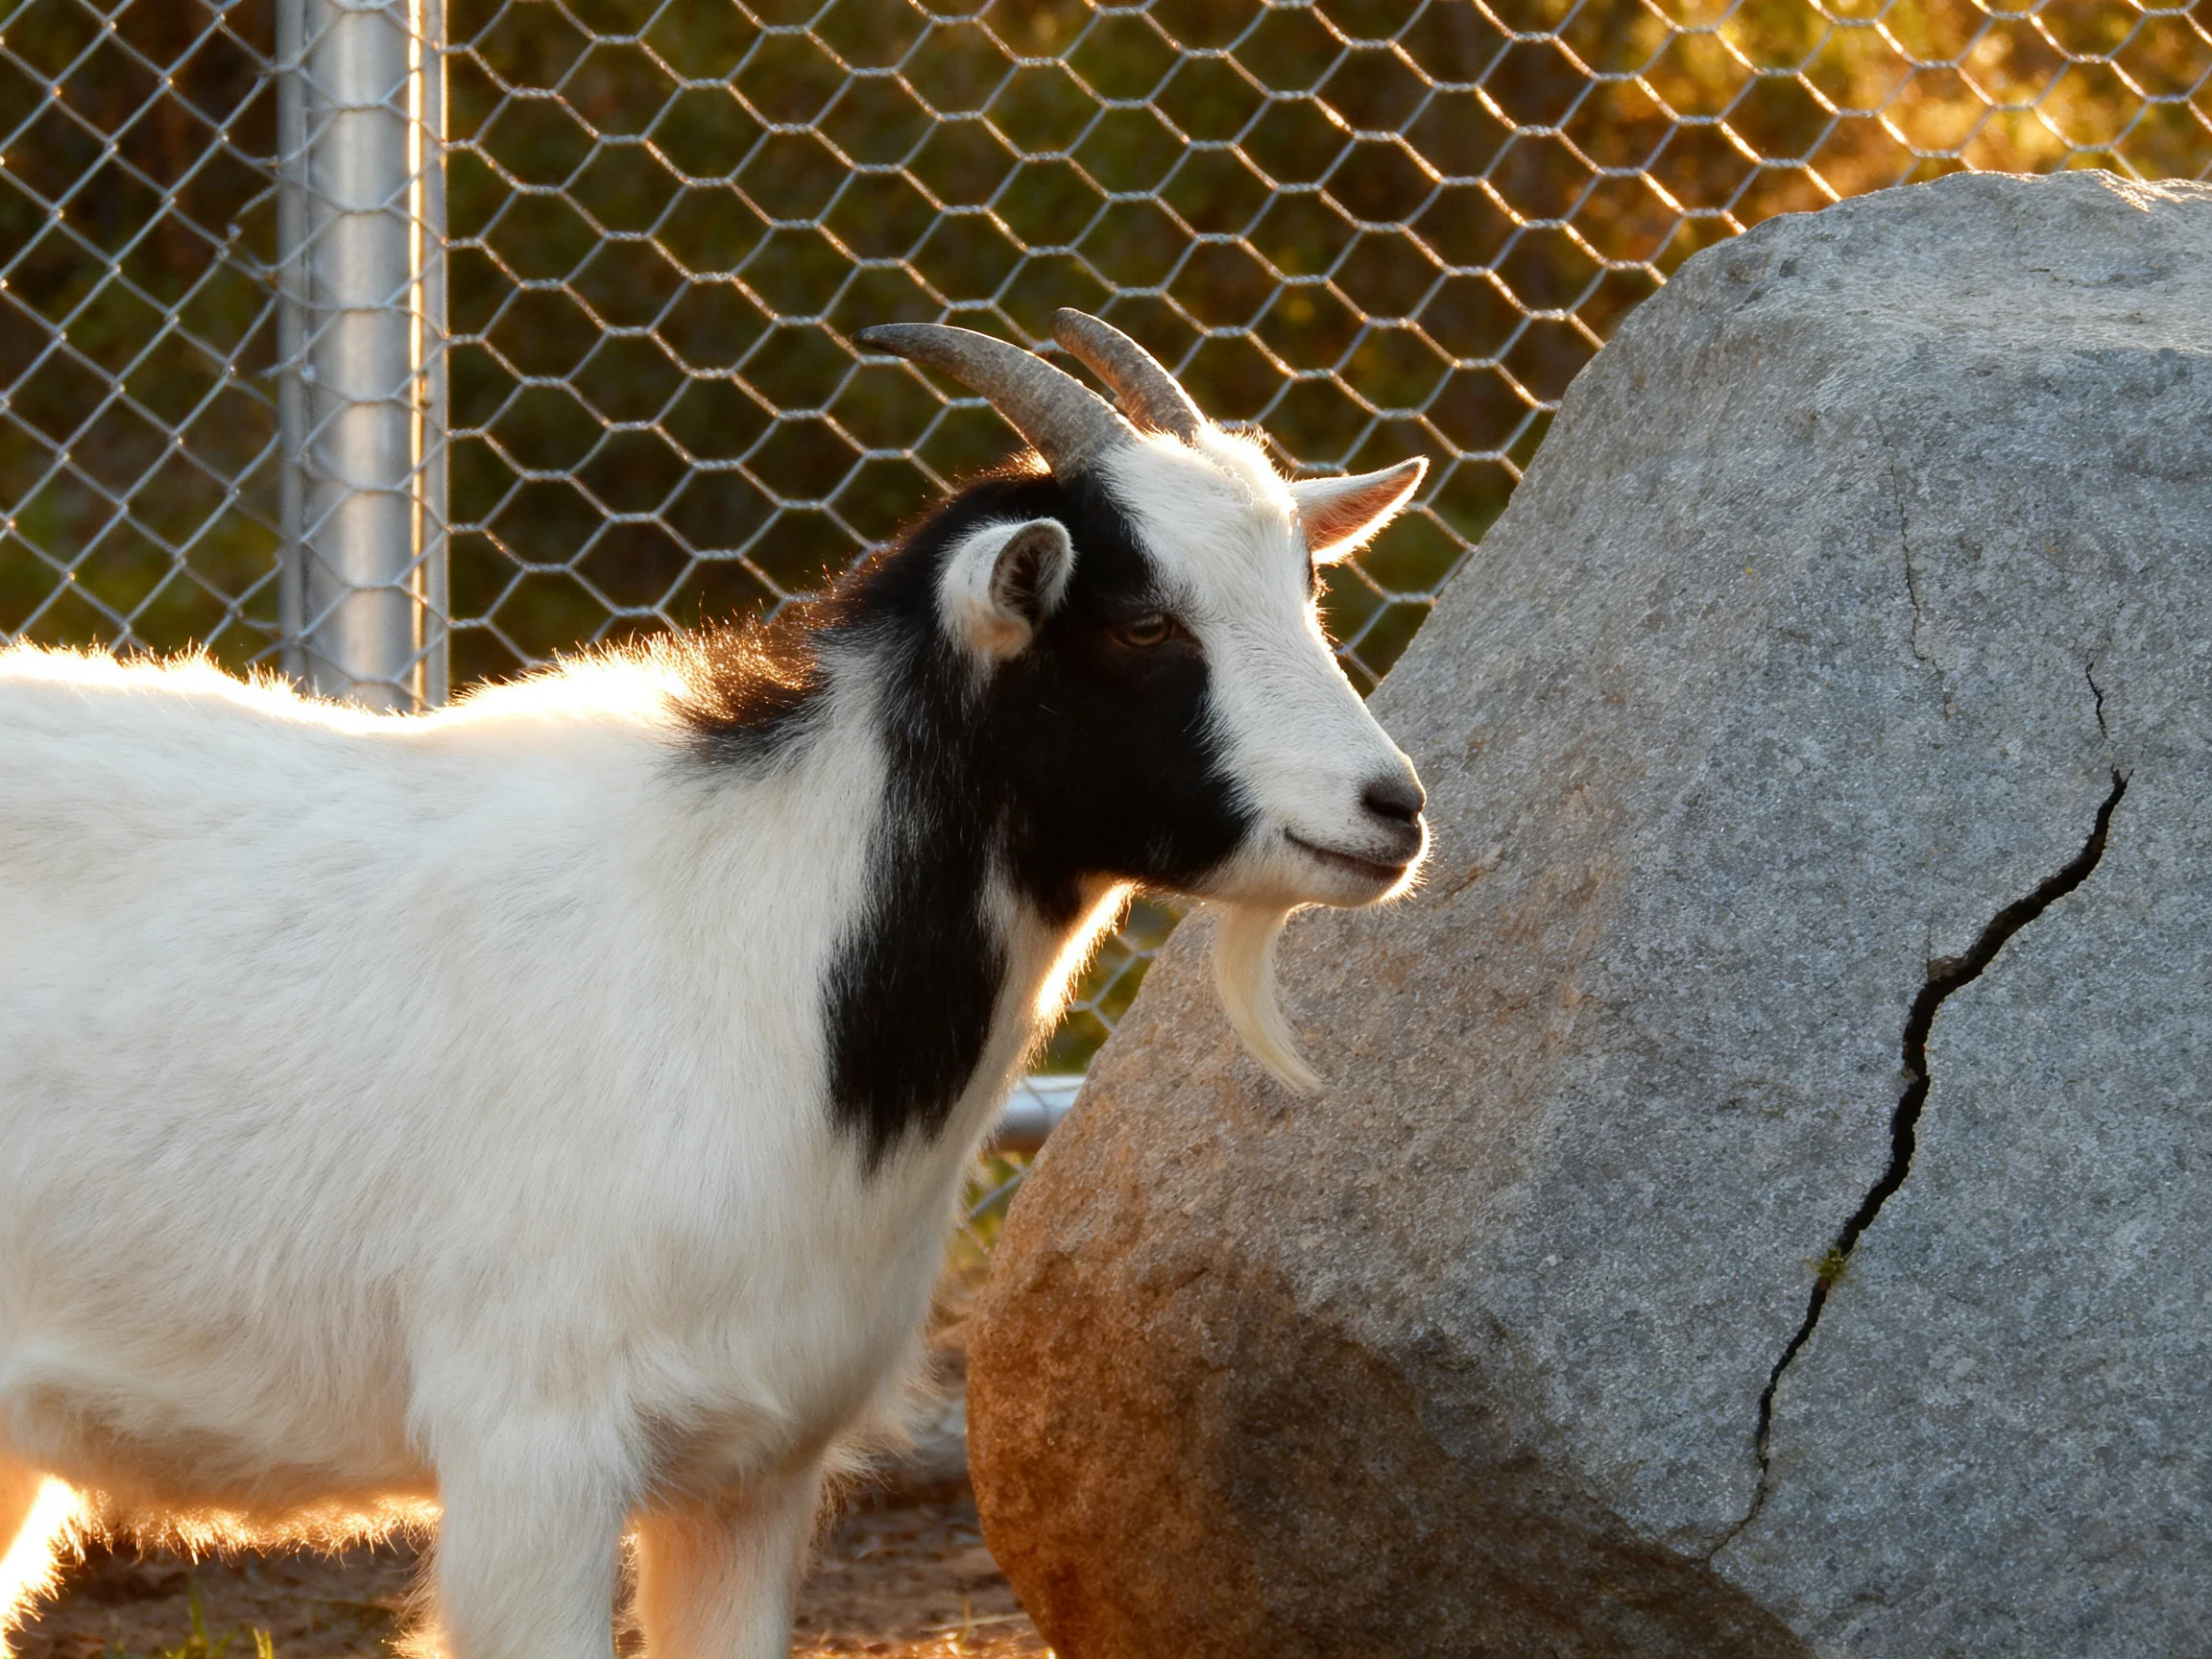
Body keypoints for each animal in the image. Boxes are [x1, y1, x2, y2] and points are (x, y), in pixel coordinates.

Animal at [0, 311, 1429, 1659]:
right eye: (1144, 621)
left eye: (1304, 590)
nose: (1393, 808)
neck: (758, 944)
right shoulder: (532, 1448)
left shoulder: (752, 1471)